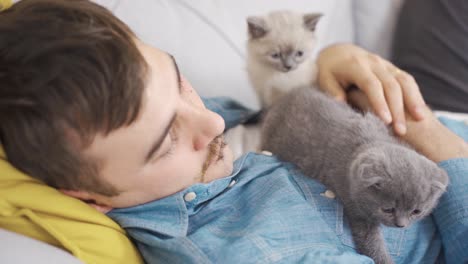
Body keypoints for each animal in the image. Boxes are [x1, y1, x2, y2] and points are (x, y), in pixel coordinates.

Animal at [262, 87, 448, 264]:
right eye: (388, 209)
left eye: (416, 211)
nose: (400, 225)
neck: (367, 142)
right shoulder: (357, 209)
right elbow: (371, 243)